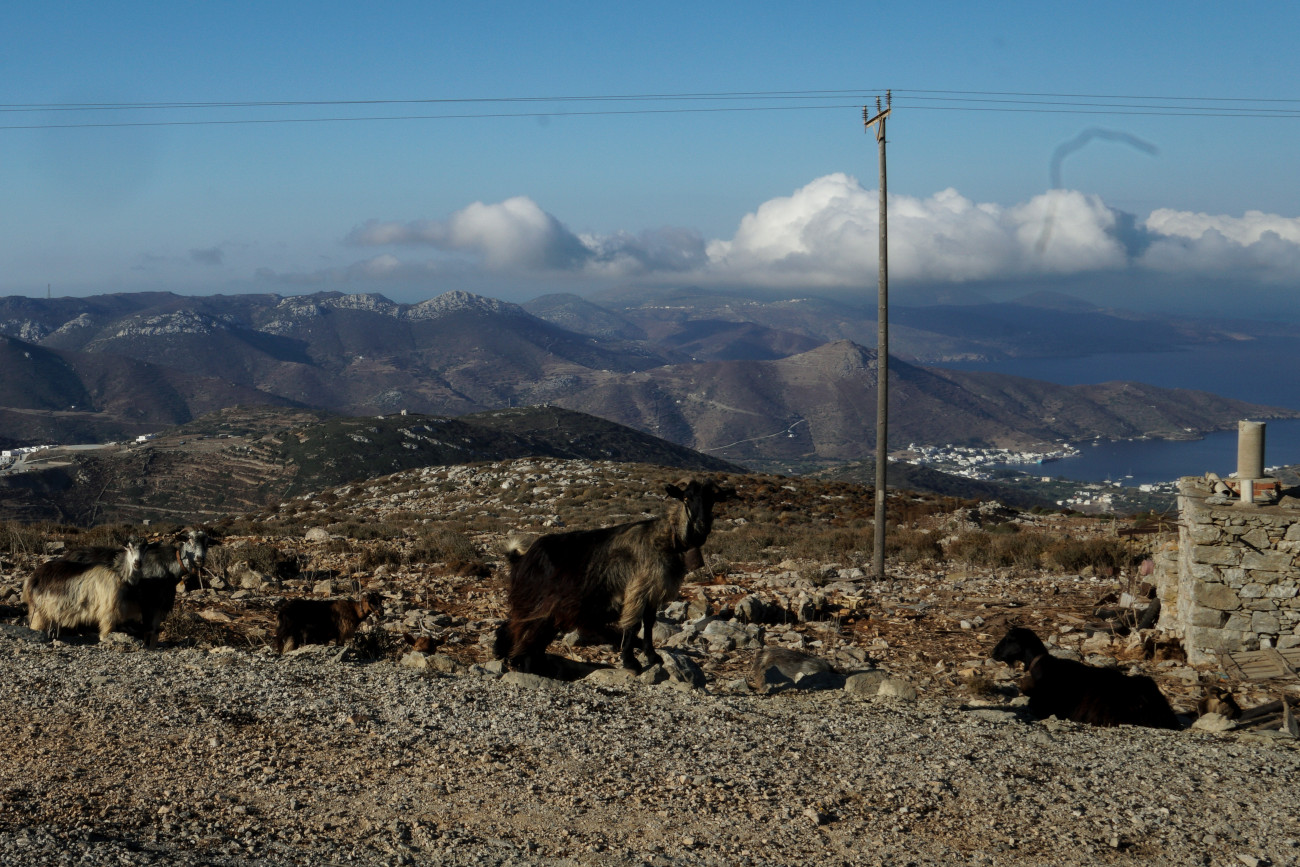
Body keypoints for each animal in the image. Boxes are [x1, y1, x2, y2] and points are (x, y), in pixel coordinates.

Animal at [491, 478, 738, 675]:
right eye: (686, 498)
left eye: (712, 500)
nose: (701, 526)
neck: (666, 539)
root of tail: (521, 558)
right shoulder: (637, 589)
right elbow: (633, 625)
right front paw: (631, 662)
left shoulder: (652, 592)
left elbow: (649, 623)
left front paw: (652, 656)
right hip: (536, 605)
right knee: (520, 629)